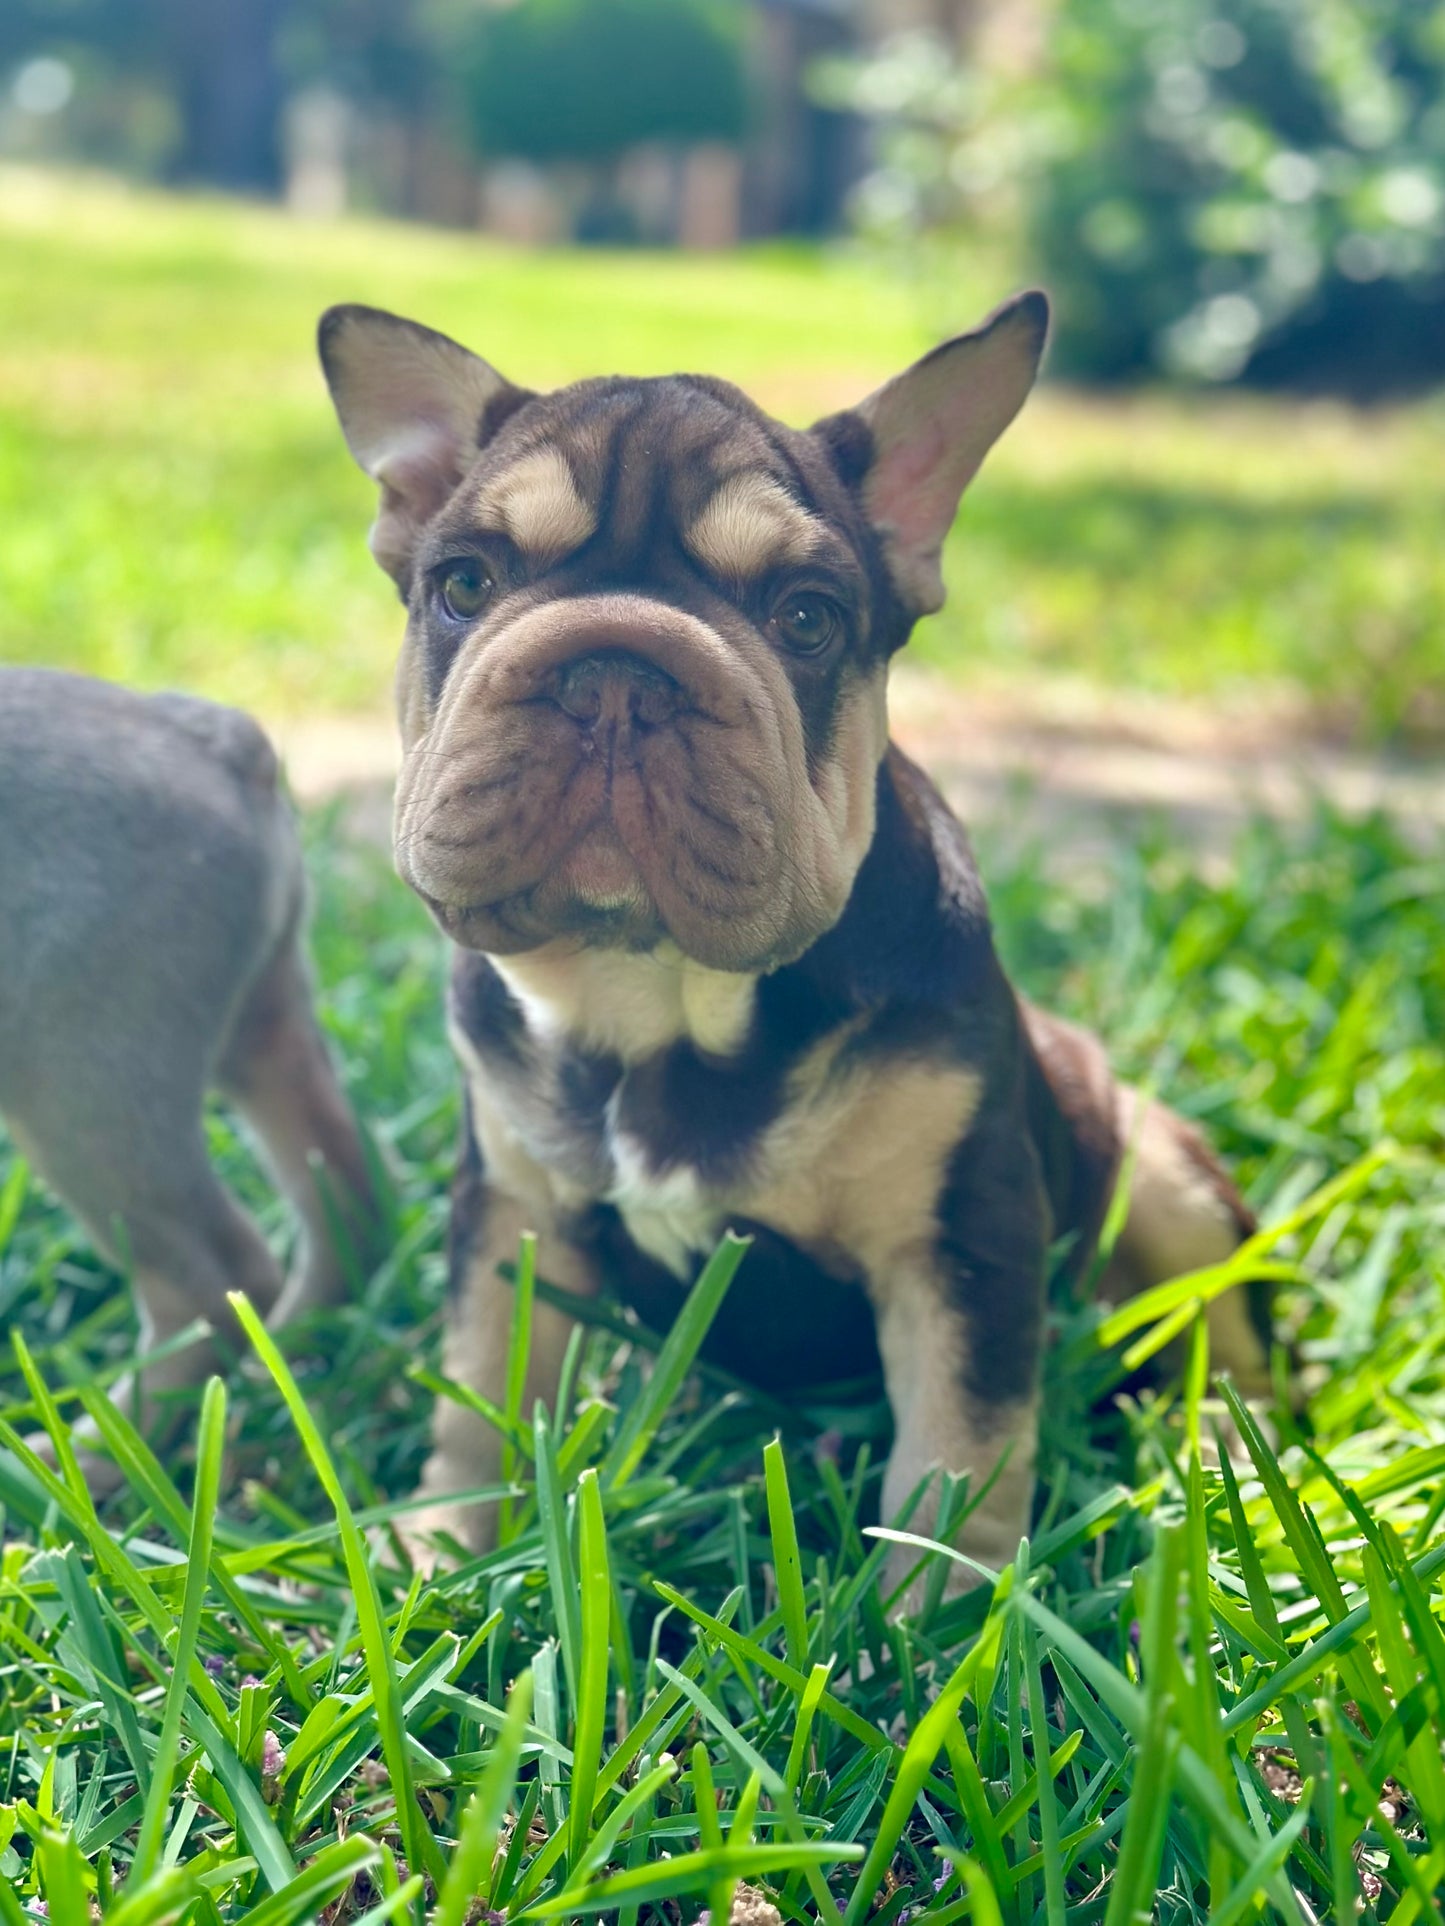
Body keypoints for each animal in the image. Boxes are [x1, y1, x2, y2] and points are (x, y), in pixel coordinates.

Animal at [0, 670, 385, 1463]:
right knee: (342, 1188)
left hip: (80, 1085)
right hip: (263, 1026)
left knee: (214, 1285)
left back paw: (83, 1463)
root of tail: (214, 741)